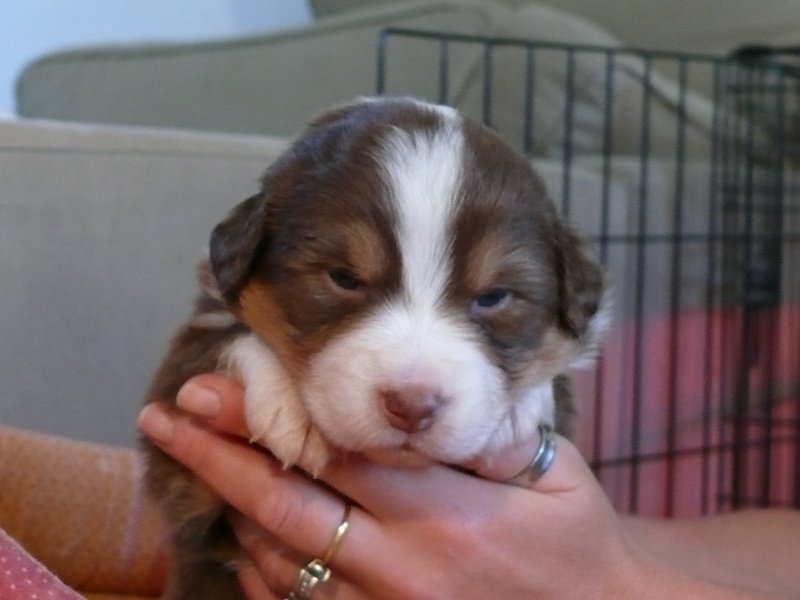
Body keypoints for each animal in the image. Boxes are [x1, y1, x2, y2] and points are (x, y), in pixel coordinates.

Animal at [142, 97, 609, 599]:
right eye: (344, 278)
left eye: (494, 297)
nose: (412, 406)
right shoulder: (185, 480)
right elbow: (227, 337)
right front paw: (291, 408)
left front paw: (519, 410)